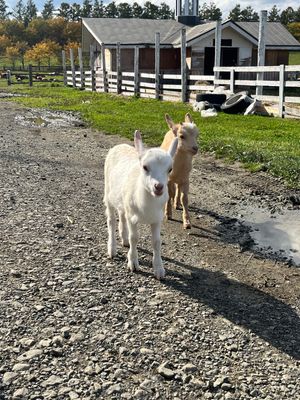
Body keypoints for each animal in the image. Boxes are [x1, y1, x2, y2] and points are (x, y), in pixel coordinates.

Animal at [103, 130, 177, 278]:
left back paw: (124, 239)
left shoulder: (157, 218)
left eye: (170, 169)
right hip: (108, 193)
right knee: (111, 221)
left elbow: (157, 242)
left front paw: (159, 269)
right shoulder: (133, 217)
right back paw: (112, 249)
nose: (158, 187)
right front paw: (133, 263)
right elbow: (134, 238)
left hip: (123, 200)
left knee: (122, 215)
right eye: (145, 167)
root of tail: (119, 145)